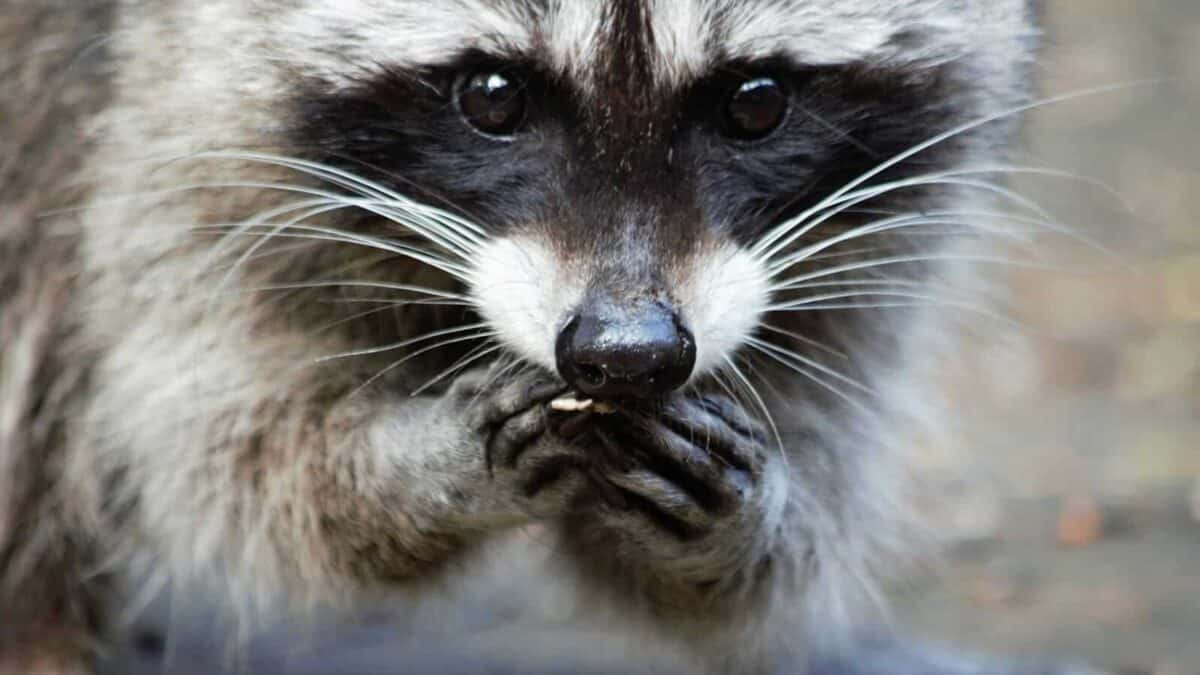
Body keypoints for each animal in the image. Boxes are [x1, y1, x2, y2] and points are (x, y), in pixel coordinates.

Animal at [1, 0, 1042, 672]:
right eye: (492, 95)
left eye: (756, 101)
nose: (628, 354)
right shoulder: (169, 140)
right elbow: (211, 444)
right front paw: (410, 469)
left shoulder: (868, 228)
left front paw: (750, 525)